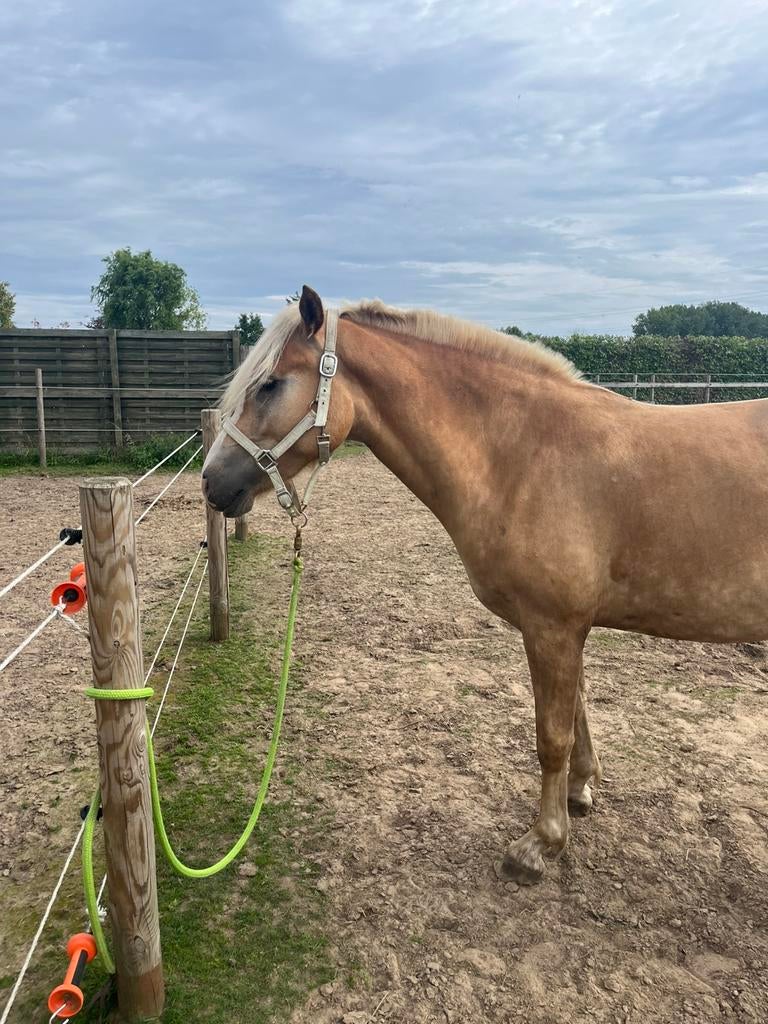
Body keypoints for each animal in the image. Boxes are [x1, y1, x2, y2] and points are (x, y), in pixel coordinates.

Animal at [202, 285, 768, 884]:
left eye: (269, 384)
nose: (211, 481)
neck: (525, 454)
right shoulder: (569, 628)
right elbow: (578, 711)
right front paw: (579, 792)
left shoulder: (552, 626)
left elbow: (551, 735)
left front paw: (540, 845)